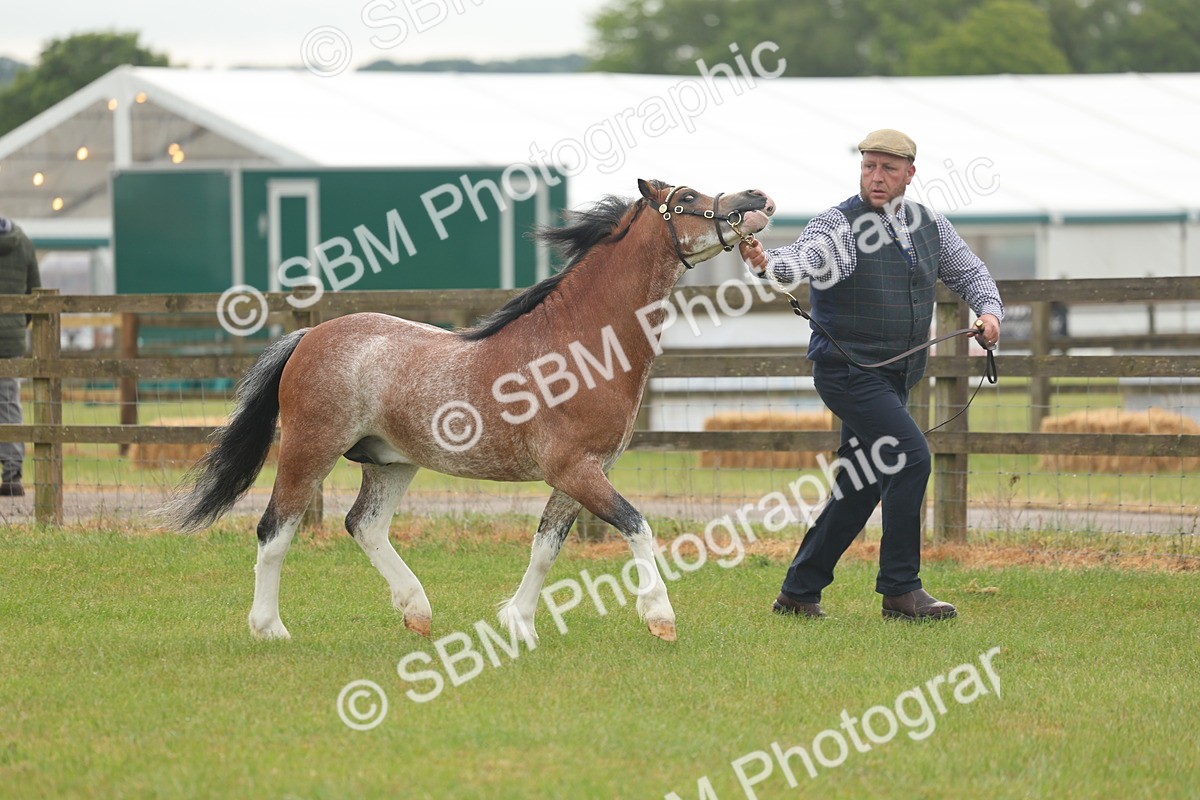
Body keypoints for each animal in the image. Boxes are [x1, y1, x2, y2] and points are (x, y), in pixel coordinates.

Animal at [164, 178, 775, 645]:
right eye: (687, 196)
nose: (757, 198)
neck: (578, 346)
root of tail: (310, 335)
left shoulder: (581, 473)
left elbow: (545, 548)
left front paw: (519, 624)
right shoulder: (576, 470)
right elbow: (637, 527)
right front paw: (660, 617)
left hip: (391, 462)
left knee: (363, 525)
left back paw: (416, 610)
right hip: (309, 448)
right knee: (277, 529)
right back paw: (270, 628)